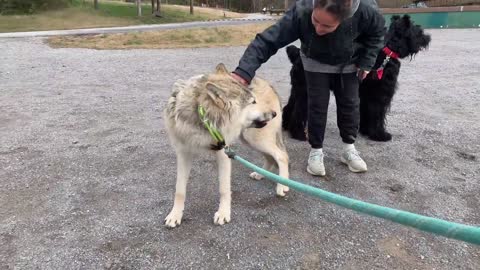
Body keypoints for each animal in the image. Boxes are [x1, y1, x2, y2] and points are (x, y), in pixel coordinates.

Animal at [163, 64, 288, 227]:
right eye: (253, 102)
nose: (273, 114)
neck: (202, 116)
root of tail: (269, 84)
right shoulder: (184, 154)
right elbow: (180, 190)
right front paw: (175, 215)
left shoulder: (223, 153)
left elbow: (224, 189)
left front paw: (223, 213)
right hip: (250, 140)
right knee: (271, 158)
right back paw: (261, 174)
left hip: (255, 139)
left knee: (282, 156)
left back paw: (283, 185)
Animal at [282, 15, 432, 142]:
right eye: (418, 31)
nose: (428, 38)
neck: (387, 52)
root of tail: (298, 54)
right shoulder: (379, 96)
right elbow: (378, 115)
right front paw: (380, 134)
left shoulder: (366, 96)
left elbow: (367, 113)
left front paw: (366, 130)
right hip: (307, 92)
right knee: (299, 112)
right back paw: (298, 134)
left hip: (298, 89)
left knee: (289, 107)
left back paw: (285, 126)